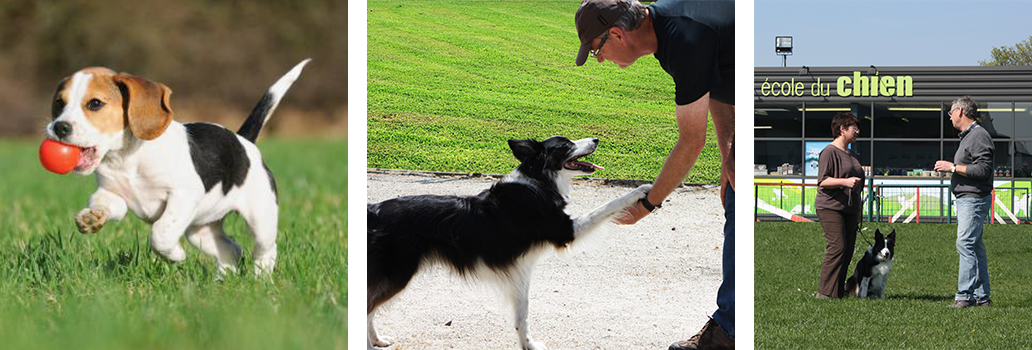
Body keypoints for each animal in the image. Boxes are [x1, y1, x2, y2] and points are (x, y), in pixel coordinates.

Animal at [45, 58, 309, 274]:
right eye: (59, 103)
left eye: (95, 104)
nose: (59, 127)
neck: (127, 158)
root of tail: (243, 140)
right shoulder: (112, 194)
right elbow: (104, 203)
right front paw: (92, 217)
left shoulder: (184, 195)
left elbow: (161, 232)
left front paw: (175, 255)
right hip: (200, 231)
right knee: (231, 250)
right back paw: (222, 282)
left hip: (261, 219)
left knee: (265, 250)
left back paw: (261, 280)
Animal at [367, 136, 648, 350]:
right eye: (565, 145)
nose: (596, 139)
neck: (538, 181)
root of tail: (373, 210)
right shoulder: (564, 232)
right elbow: (608, 205)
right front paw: (641, 190)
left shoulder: (521, 270)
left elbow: (522, 315)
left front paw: (528, 345)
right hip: (397, 273)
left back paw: (378, 340)